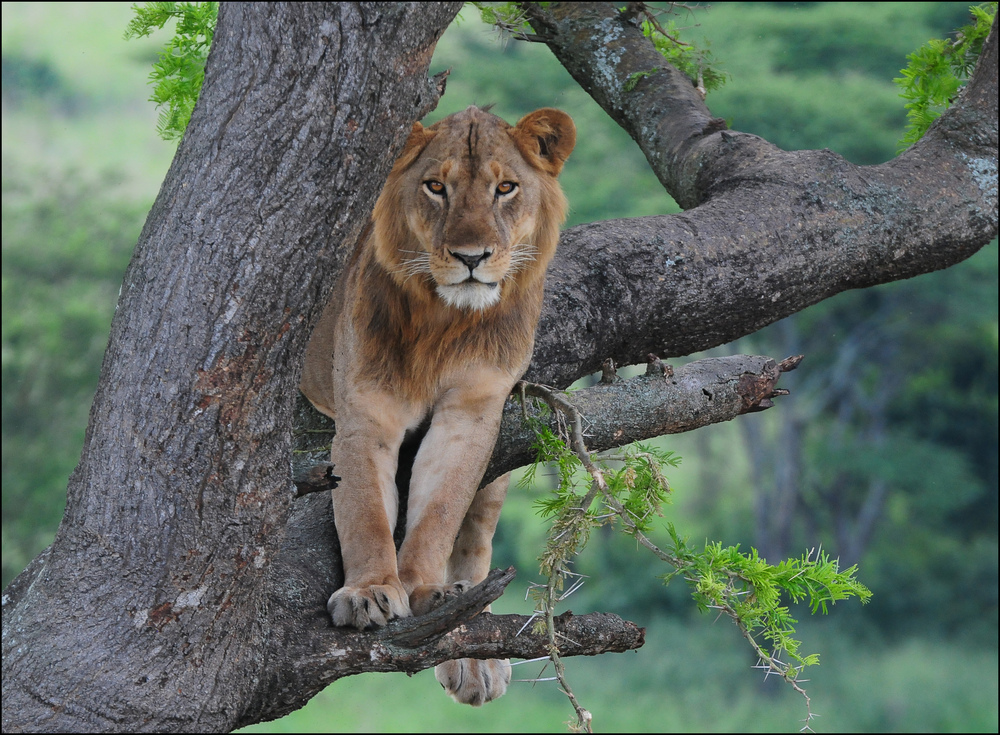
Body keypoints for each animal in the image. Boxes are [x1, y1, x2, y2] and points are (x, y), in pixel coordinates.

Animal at [300, 105, 576, 708]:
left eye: (505, 188)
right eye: (435, 187)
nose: (472, 258)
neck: (444, 321)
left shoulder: (474, 410)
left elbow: (441, 513)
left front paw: (426, 589)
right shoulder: (367, 412)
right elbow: (362, 510)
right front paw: (369, 592)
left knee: (475, 544)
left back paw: (474, 651)